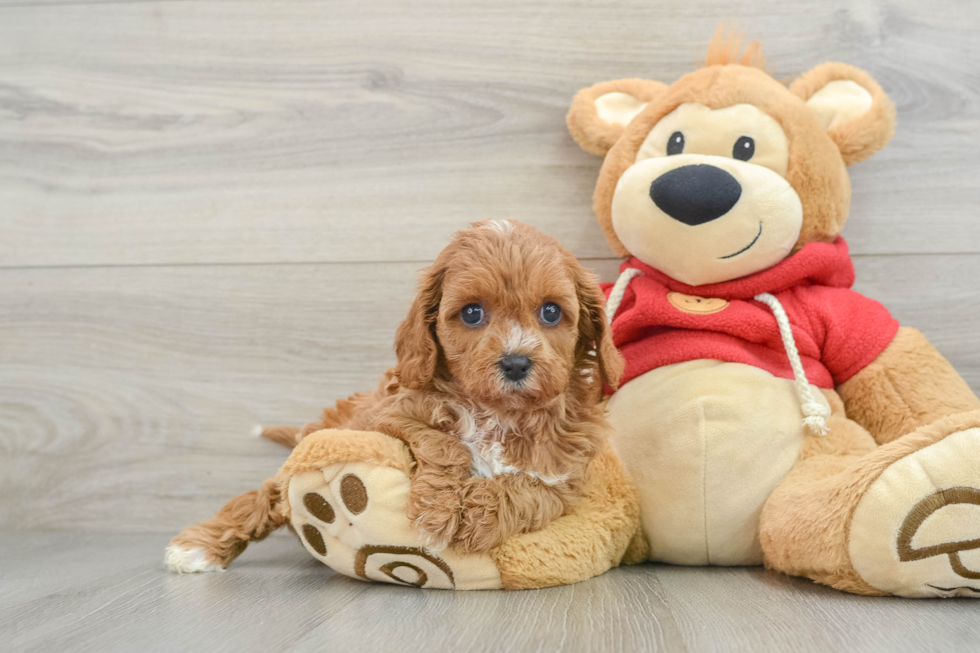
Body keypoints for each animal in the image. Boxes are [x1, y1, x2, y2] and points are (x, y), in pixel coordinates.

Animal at [169, 218, 624, 564]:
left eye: (551, 312)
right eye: (472, 313)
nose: (515, 363)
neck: (498, 412)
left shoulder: (565, 477)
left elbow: (528, 489)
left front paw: (479, 518)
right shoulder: (388, 414)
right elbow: (445, 442)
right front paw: (439, 512)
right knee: (261, 498)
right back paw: (197, 549)